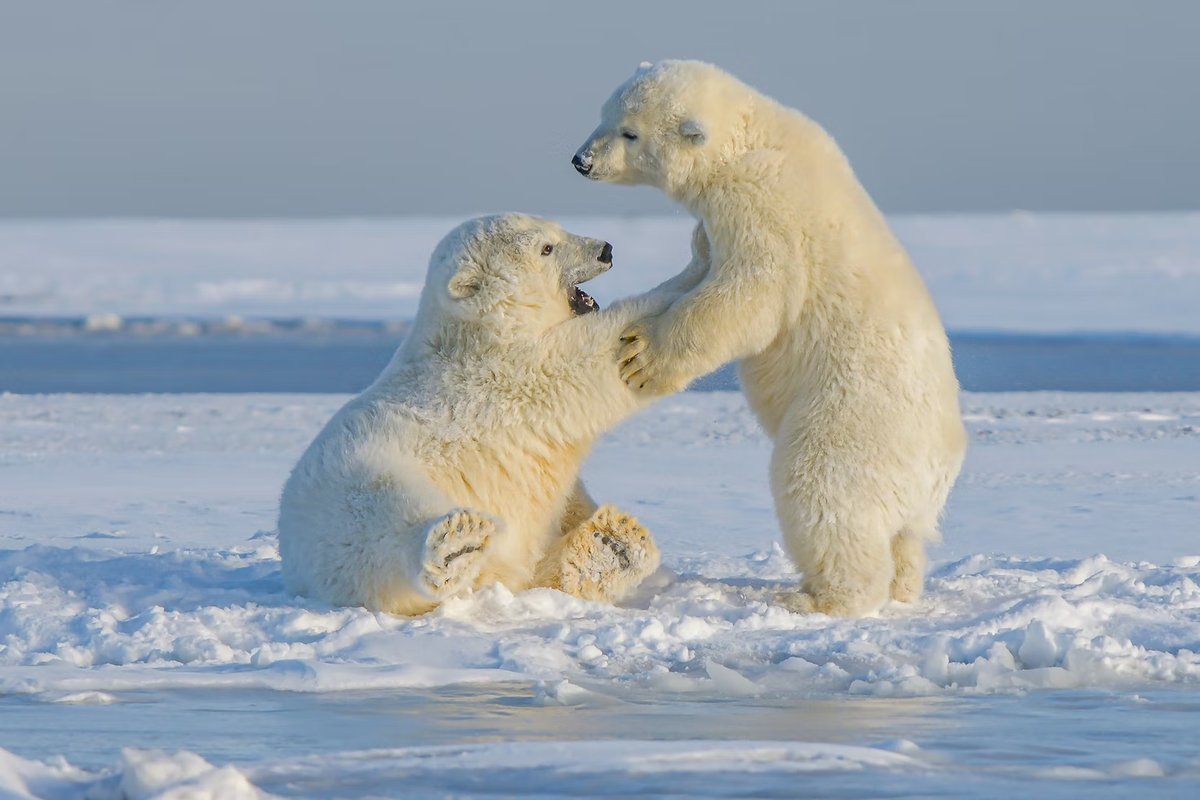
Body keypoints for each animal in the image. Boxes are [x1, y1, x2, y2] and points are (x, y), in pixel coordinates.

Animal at [277, 215, 681, 618]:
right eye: (546, 248)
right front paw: (683, 286)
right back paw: (456, 545)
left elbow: (565, 499)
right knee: (383, 520)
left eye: (558, 228)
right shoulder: (507, 374)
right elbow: (587, 358)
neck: (474, 333)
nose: (605, 250)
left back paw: (613, 544)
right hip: (355, 484)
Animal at [568, 59, 964, 618]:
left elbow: (752, 293)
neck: (753, 136)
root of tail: (939, 467)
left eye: (630, 132)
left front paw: (642, 357)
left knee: (822, 492)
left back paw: (818, 598)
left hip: (852, 421)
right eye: (605, 114)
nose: (581, 161)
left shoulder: (761, 205)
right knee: (905, 536)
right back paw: (903, 587)